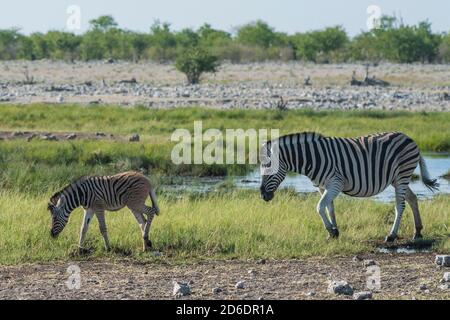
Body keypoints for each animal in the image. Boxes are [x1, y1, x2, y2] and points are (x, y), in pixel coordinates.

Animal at [260, 131, 440, 241]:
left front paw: (331, 231)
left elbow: (319, 207)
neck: (312, 158)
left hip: (402, 175)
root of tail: (409, 138)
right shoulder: (323, 187)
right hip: (397, 179)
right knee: (413, 199)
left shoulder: (335, 183)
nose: (263, 195)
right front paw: (334, 232)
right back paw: (418, 231)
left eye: (268, 168)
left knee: (400, 205)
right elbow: (329, 208)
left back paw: (392, 235)